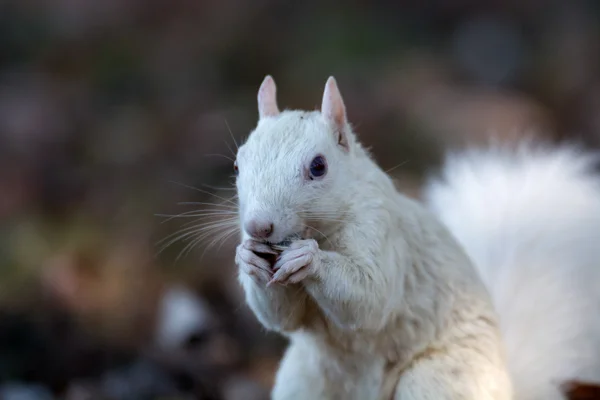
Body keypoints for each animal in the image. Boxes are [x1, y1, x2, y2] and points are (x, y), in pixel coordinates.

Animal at [232, 76, 600, 400]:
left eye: (319, 166)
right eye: (237, 164)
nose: (258, 226)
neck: (319, 230)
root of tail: (507, 386)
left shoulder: (383, 231)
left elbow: (370, 298)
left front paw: (310, 259)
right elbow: (283, 317)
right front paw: (248, 258)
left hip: (436, 380)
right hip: (304, 380)